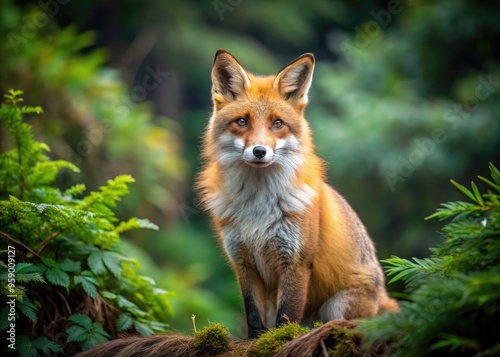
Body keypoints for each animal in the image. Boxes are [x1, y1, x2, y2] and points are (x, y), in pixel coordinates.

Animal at [197, 49, 396, 336]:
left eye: (277, 123)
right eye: (242, 121)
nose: (259, 151)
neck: (257, 207)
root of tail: (382, 297)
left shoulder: (297, 262)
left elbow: (286, 317)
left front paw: (281, 339)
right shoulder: (243, 264)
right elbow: (253, 318)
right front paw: (256, 340)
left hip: (337, 306)